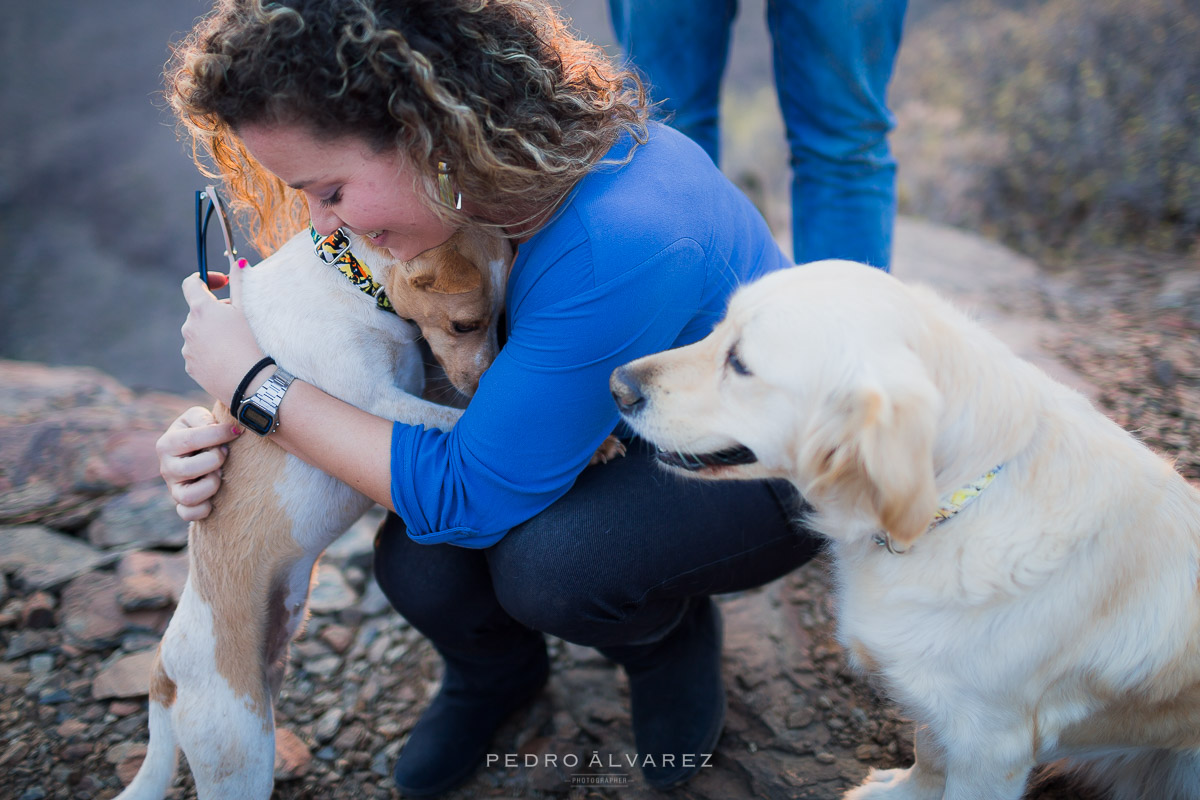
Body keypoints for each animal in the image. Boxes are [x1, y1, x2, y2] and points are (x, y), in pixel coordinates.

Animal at [119, 226, 513, 800]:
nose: (487, 382)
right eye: (465, 324)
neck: (349, 275)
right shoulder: (381, 404)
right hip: (240, 753)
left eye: (502, 318)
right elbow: (452, 420)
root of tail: (163, 675)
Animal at [614, 261, 1195, 800]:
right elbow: (929, 752)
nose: (617, 385)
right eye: (717, 328)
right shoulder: (947, 715)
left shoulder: (993, 744)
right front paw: (902, 790)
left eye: (740, 364)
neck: (954, 504)